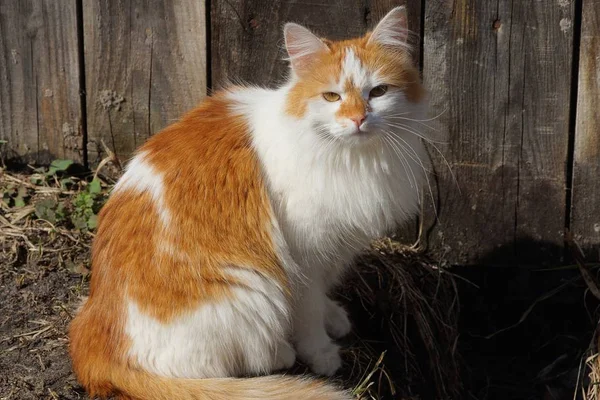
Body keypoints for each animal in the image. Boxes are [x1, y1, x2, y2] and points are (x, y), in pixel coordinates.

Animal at [69, 7, 426, 400]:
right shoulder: (303, 258)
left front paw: (333, 316)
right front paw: (321, 353)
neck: (351, 159)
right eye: (332, 97)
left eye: (378, 92)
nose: (358, 118)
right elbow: (308, 312)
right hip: (250, 289)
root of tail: (96, 332)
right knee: (215, 368)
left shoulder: (336, 246)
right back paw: (280, 351)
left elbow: (323, 295)